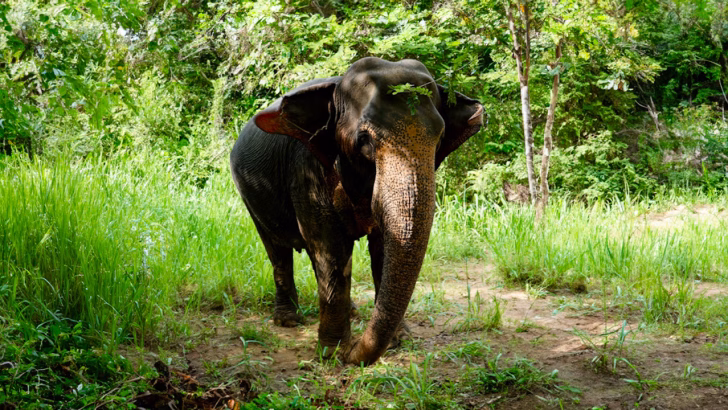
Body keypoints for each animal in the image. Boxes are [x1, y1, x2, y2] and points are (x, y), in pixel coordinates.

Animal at [230, 57, 483, 366]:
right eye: (364, 140)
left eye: (441, 136)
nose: (354, 354)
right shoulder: (306, 170)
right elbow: (330, 244)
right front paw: (332, 352)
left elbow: (382, 248)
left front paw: (399, 340)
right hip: (248, 193)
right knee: (278, 250)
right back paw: (288, 321)